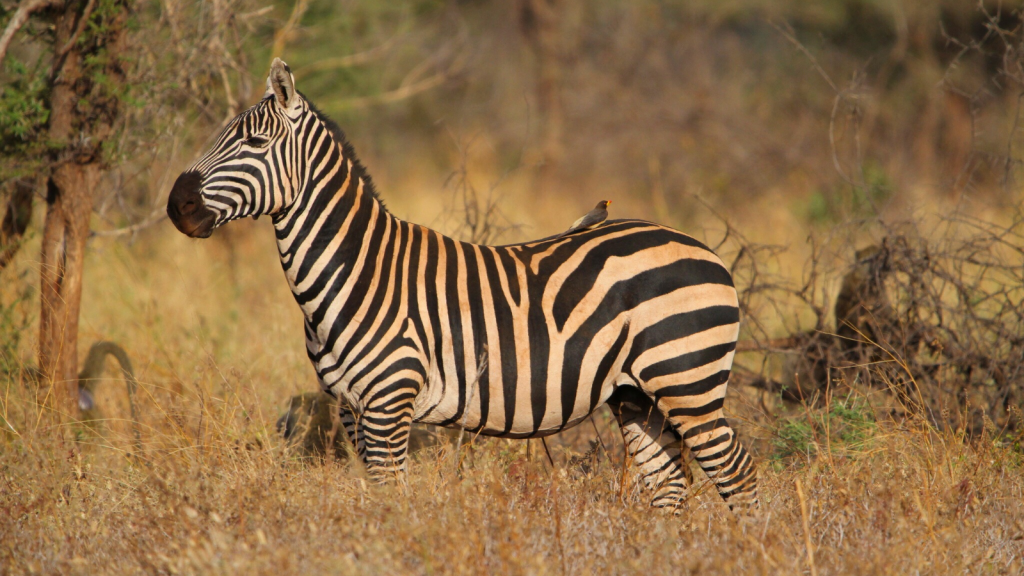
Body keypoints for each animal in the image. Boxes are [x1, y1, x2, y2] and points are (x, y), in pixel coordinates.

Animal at [165, 57, 761, 506]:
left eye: (255, 143)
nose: (178, 206)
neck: (354, 270)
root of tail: (703, 248)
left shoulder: (389, 403)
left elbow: (393, 500)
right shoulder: (352, 409)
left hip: (686, 378)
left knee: (736, 471)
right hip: (636, 391)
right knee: (669, 479)